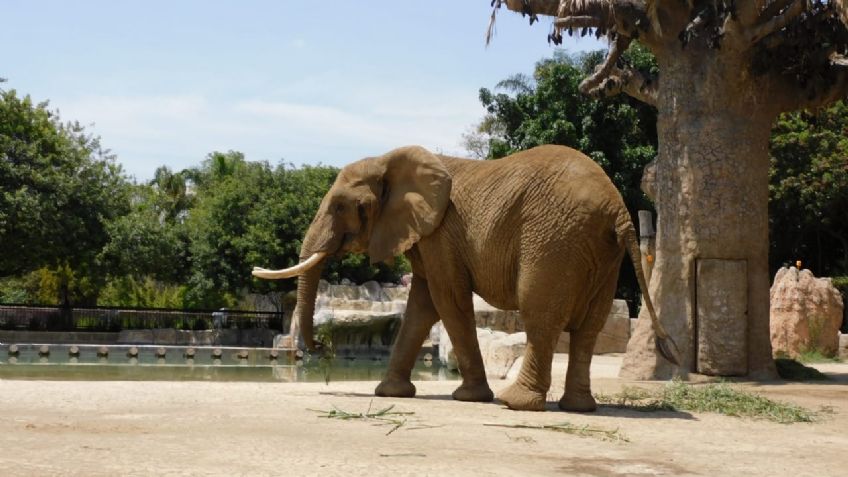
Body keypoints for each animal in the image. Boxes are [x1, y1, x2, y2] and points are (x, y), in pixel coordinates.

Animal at [253, 144, 680, 412]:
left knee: (540, 314)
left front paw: (469, 398)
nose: (319, 349)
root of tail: (619, 210)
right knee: (590, 325)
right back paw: (579, 408)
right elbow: (421, 307)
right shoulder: (428, 235)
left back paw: (515, 403)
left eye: (340, 206)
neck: (389, 160)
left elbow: (448, 300)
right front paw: (390, 393)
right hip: (601, 253)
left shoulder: (441, 233)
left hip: (555, 239)